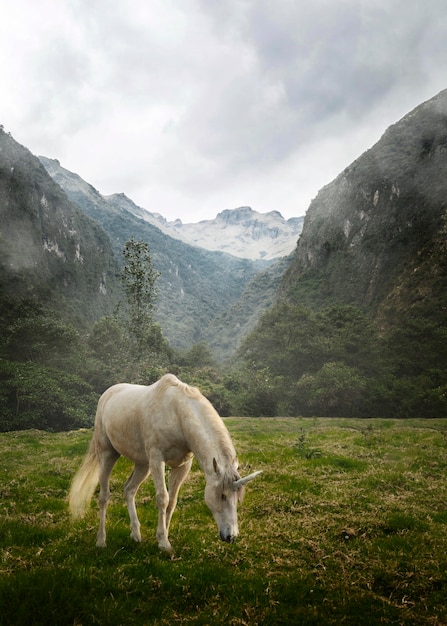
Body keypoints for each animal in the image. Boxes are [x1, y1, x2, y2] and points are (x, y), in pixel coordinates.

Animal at [69, 372, 262, 548]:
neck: (177, 414)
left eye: (237, 497)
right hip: (108, 455)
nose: (231, 536)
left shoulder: (182, 465)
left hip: (143, 464)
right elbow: (163, 498)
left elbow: (172, 501)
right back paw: (101, 541)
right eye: (222, 495)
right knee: (104, 497)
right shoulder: (157, 460)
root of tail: (107, 394)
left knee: (129, 490)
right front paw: (163, 543)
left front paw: (165, 536)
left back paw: (136, 534)